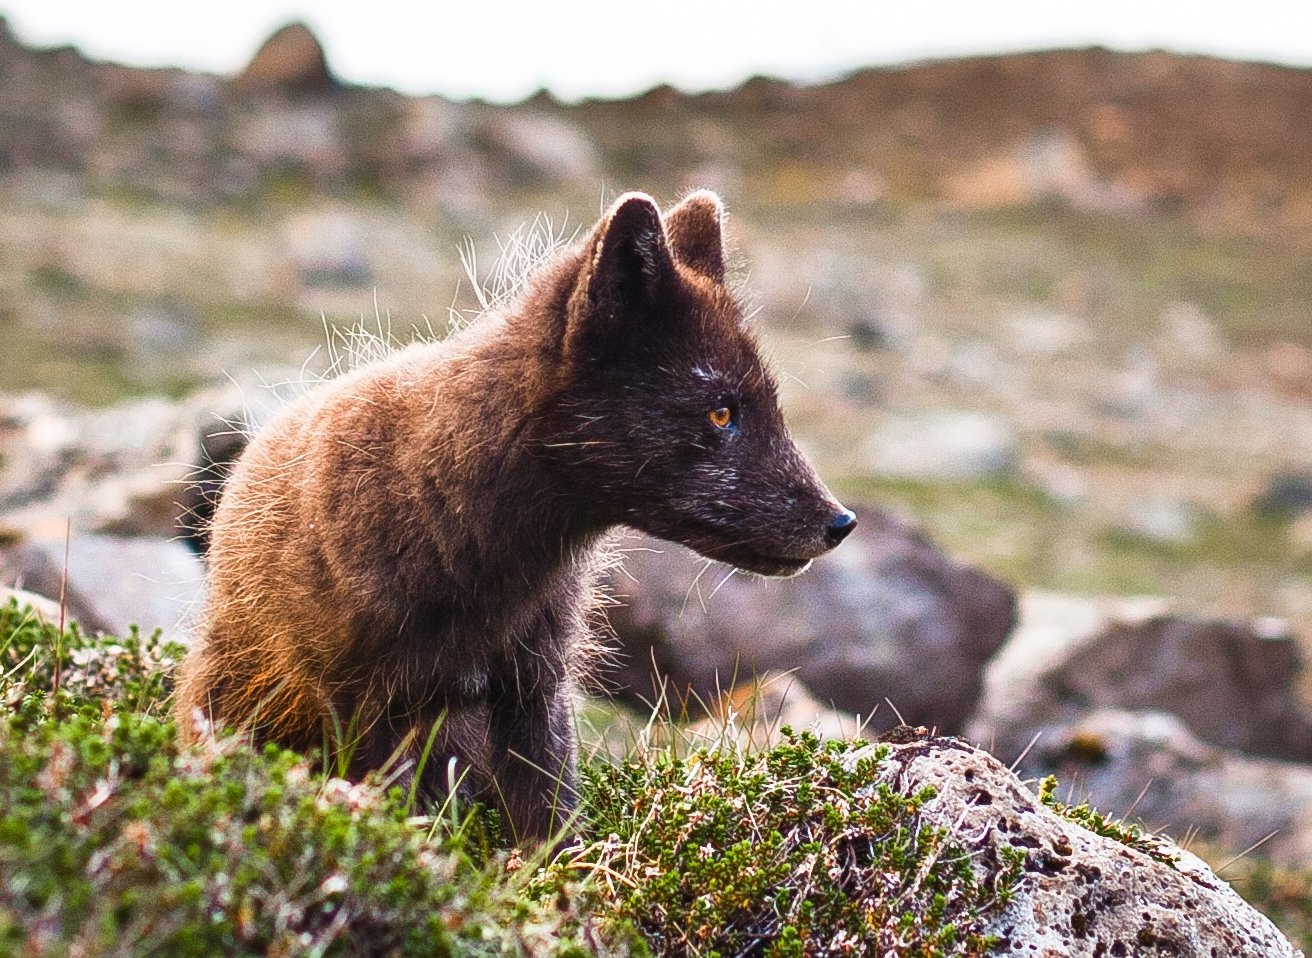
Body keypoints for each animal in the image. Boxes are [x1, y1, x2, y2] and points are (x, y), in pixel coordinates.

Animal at [175, 190, 856, 843]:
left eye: (768, 402)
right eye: (721, 411)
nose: (841, 523)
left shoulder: (535, 685)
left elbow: (548, 817)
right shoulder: (362, 700)